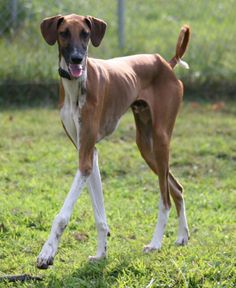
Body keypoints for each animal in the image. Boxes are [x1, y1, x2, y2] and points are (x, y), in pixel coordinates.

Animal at [37, 14, 191, 270]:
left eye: (85, 34)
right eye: (64, 33)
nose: (77, 59)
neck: (77, 85)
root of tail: (166, 63)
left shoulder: (85, 159)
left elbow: (62, 216)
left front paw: (47, 253)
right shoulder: (88, 153)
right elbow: (99, 214)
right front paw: (101, 254)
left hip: (160, 140)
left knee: (165, 199)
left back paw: (155, 243)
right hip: (145, 146)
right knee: (177, 188)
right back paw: (182, 236)